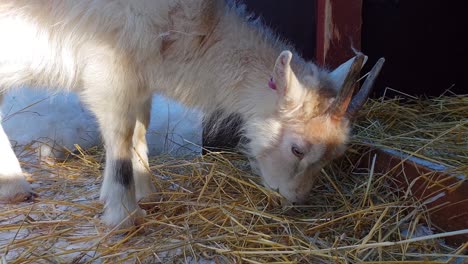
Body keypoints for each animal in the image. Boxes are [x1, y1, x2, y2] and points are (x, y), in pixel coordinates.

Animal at [0, 0, 384, 227]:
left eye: (334, 155)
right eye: (297, 149)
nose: (295, 200)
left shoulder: (140, 78)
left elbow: (139, 130)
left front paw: (146, 193)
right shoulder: (109, 69)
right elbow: (121, 136)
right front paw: (124, 215)